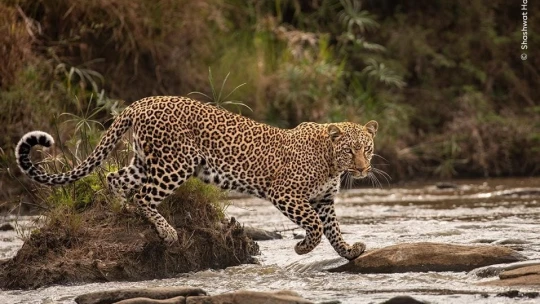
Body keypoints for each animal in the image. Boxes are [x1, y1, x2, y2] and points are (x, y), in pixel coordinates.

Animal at [16, 96, 380, 260]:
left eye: (367, 148)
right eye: (350, 150)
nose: (363, 169)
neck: (331, 162)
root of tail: (141, 102)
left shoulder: (324, 199)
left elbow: (332, 229)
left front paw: (350, 251)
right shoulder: (285, 192)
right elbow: (315, 226)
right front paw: (303, 247)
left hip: (146, 161)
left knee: (115, 179)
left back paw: (122, 214)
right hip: (175, 164)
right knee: (143, 195)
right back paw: (166, 232)